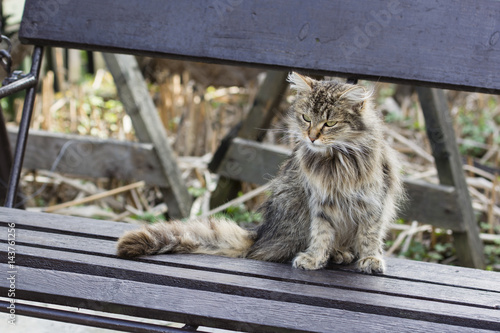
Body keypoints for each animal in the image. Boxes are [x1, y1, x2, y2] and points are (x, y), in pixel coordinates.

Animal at [115, 72, 404, 272]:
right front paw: (314, 259)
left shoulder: (373, 202)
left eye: (330, 123)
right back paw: (336, 254)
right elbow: (322, 235)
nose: (311, 137)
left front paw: (371, 259)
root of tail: (262, 233)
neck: (337, 158)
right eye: (306, 119)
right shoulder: (321, 202)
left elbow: (369, 236)